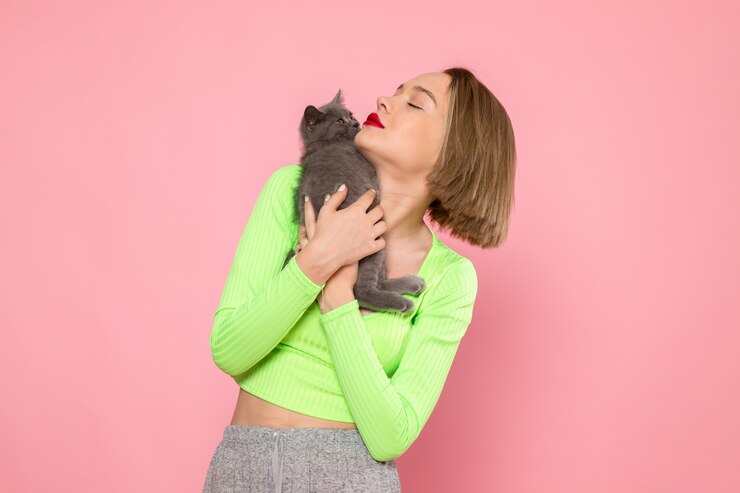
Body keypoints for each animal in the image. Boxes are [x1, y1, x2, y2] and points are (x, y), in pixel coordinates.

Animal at [282, 88, 424, 312]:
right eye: (340, 121)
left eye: (351, 115)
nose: (356, 124)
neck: (324, 144)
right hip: (375, 243)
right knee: (361, 291)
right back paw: (403, 301)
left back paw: (410, 284)